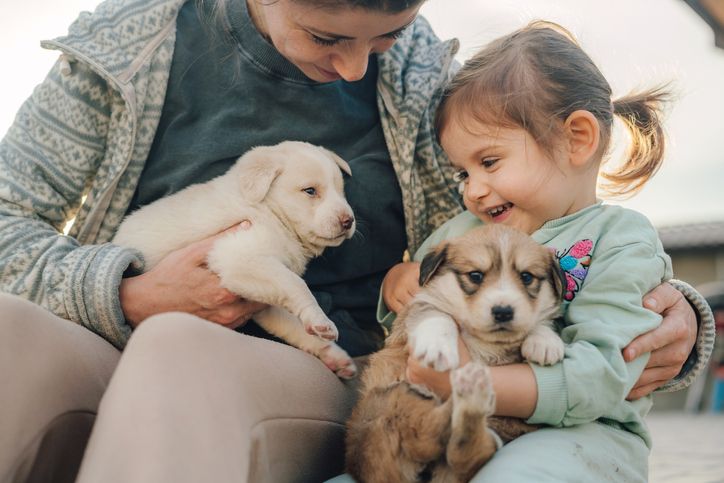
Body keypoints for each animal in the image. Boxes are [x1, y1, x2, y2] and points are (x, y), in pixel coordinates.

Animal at [113, 140, 360, 378]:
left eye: (341, 191)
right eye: (310, 191)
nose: (348, 221)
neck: (268, 210)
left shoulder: (264, 301)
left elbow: (293, 324)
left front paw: (330, 352)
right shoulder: (240, 257)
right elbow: (297, 285)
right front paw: (321, 320)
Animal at [346, 225, 564, 482]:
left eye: (526, 277)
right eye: (475, 276)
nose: (503, 311)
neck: (484, 340)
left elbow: (538, 321)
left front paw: (545, 342)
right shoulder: (419, 307)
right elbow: (438, 315)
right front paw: (437, 347)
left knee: (463, 453)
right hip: (386, 404)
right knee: (429, 432)